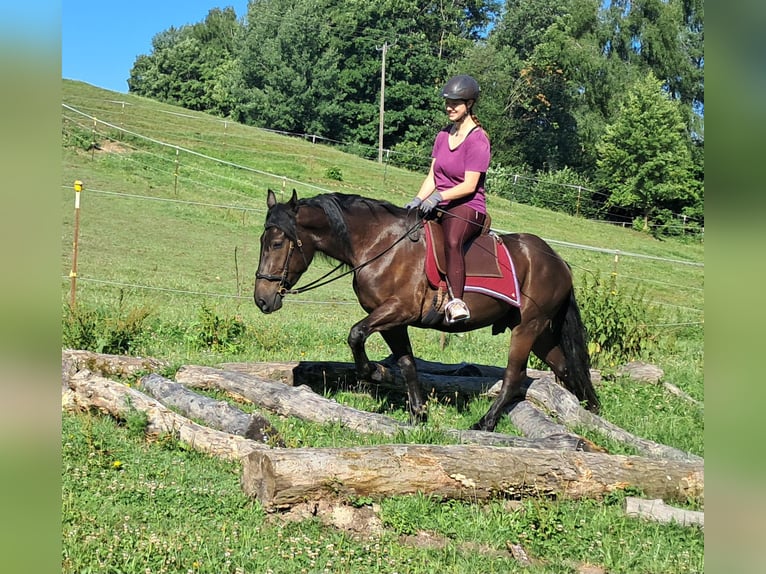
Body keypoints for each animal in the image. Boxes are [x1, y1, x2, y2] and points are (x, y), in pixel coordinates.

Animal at [254, 189, 599, 431]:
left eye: (277, 244)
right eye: (262, 240)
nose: (262, 299)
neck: (380, 245)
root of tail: (558, 261)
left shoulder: (397, 311)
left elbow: (355, 335)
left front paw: (376, 372)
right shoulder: (393, 321)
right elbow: (407, 364)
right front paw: (418, 412)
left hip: (528, 328)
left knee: (515, 376)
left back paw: (485, 423)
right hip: (540, 333)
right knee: (566, 367)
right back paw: (589, 410)